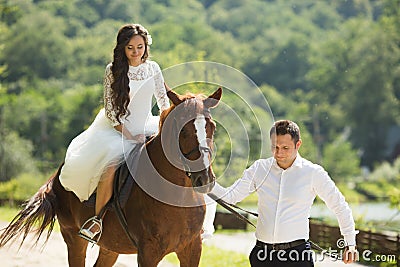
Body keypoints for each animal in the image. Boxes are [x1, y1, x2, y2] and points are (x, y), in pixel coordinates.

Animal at [0, 89, 222, 266]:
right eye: (182, 130)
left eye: (212, 127)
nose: (204, 179)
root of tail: (57, 177)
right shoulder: (149, 252)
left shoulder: (192, 249)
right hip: (74, 238)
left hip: (111, 246)